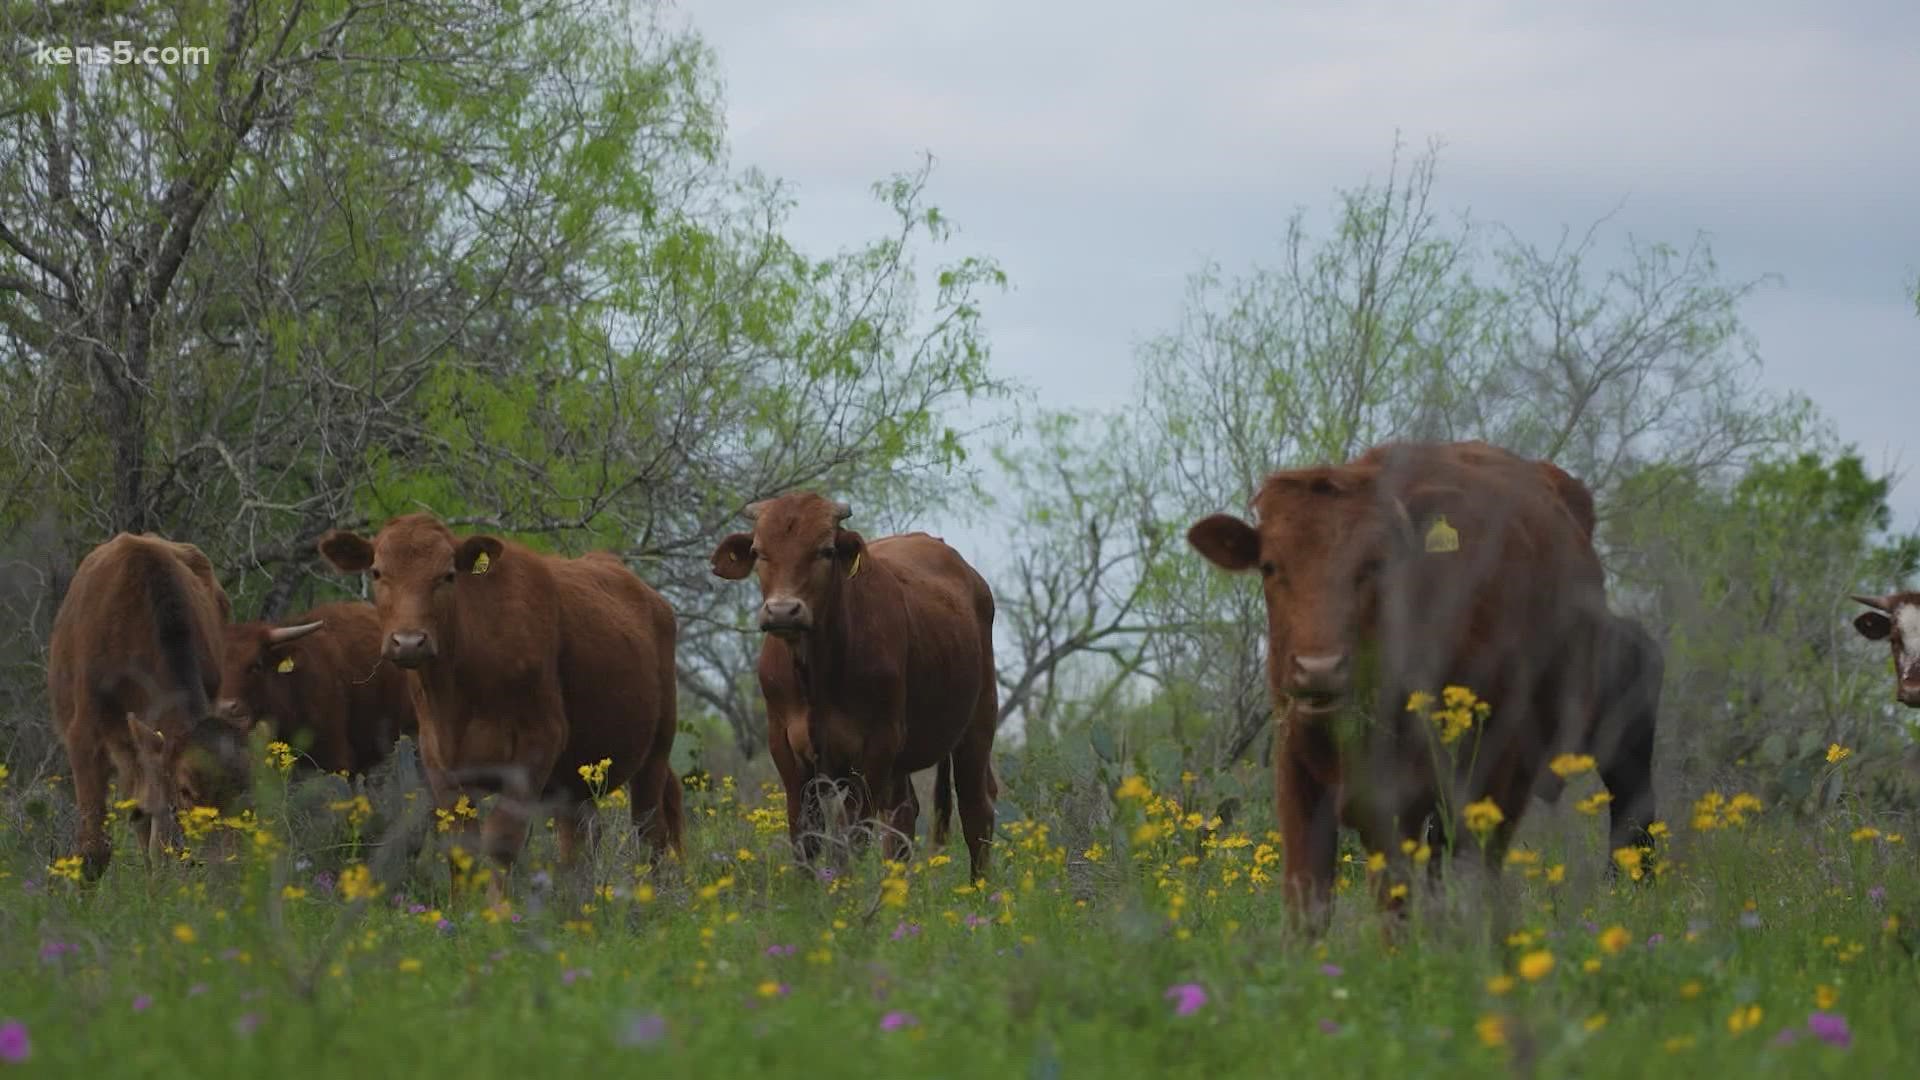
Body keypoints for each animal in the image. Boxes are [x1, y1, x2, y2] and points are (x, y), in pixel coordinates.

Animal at [47, 530, 249, 876]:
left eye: (242, 786)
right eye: (187, 789)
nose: (224, 864)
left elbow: (162, 844)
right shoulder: (84, 740)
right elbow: (93, 851)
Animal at [322, 511, 691, 883]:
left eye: (448, 575)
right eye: (377, 572)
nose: (409, 642)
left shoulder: (537, 745)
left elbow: (501, 842)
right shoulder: (438, 760)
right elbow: (461, 848)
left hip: (654, 753)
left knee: (649, 833)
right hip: (577, 777)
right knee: (578, 841)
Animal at [710, 491, 1006, 880]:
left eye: (825, 550)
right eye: (759, 551)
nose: (783, 611)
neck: (816, 675)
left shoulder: (875, 748)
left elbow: (850, 842)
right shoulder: (785, 747)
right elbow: (806, 838)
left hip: (977, 723)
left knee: (976, 810)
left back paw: (980, 889)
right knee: (903, 815)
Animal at [1190, 438, 1612, 914]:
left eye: (1374, 564)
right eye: (1269, 566)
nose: (1319, 668)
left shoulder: (1401, 802)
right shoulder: (1298, 782)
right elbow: (1308, 904)